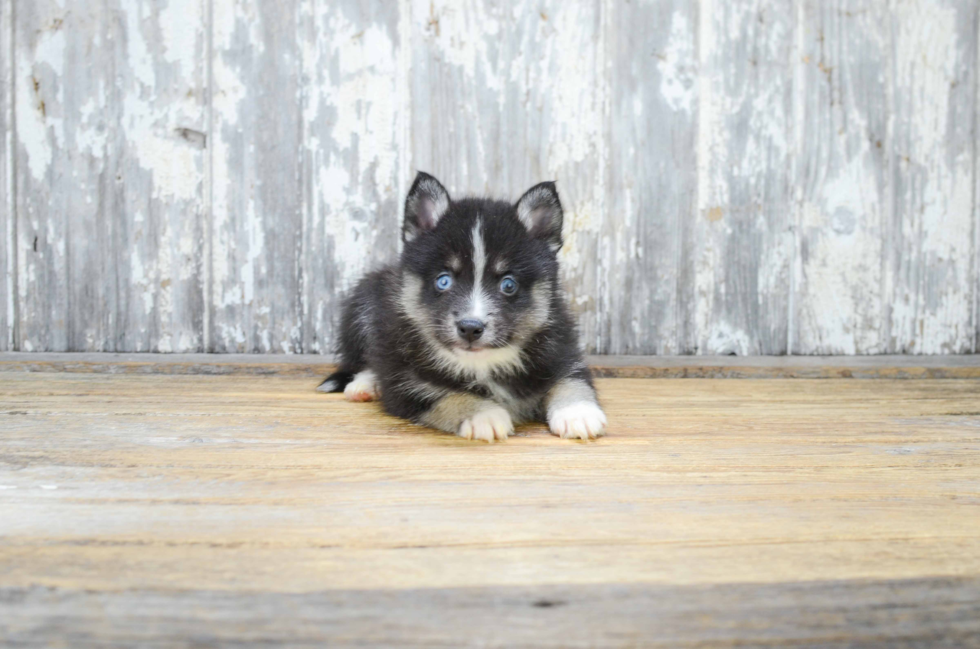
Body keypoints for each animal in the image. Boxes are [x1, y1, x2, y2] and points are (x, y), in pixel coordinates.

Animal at [318, 170, 604, 442]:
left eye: (508, 284)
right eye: (443, 280)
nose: (470, 328)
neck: (484, 363)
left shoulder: (562, 353)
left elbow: (570, 380)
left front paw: (577, 412)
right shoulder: (406, 385)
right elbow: (446, 394)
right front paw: (483, 415)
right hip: (364, 303)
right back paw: (364, 385)